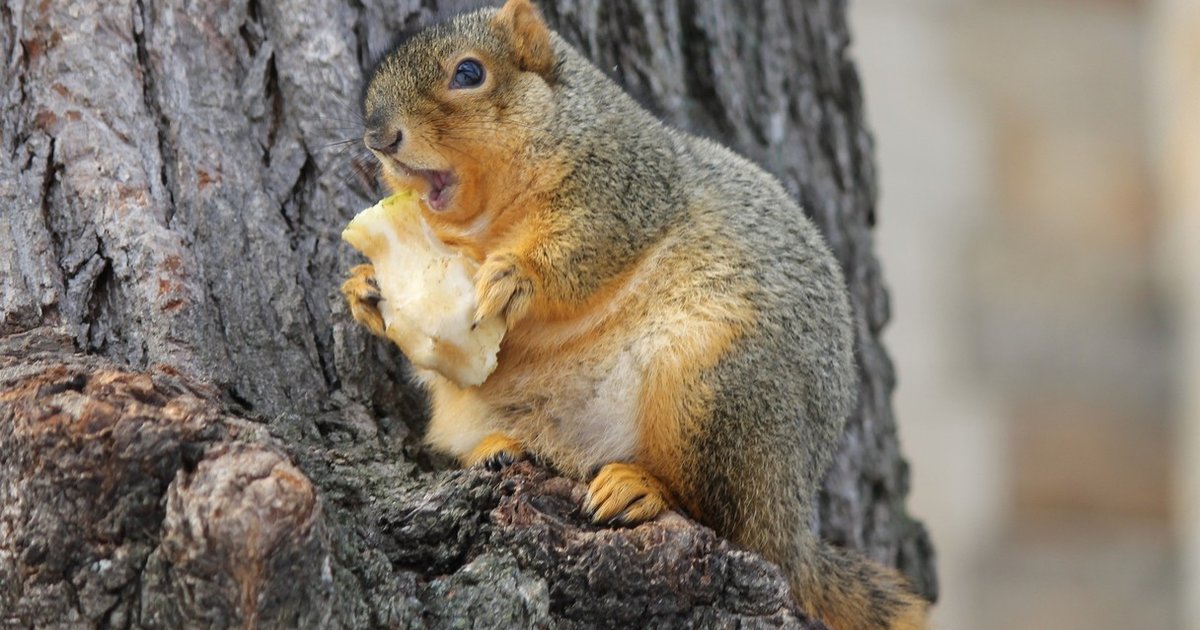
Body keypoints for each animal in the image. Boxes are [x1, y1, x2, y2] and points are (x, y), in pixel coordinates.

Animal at [338, 2, 926, 624]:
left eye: (469, 73)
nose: (379, 138)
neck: (484, 226)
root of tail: (791, 522)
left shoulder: (623, 189)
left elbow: (580, 252)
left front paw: (517, 275)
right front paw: (366, 289)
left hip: (714, 390)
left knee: (722, 515)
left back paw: (640, 488)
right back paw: (500, 450)